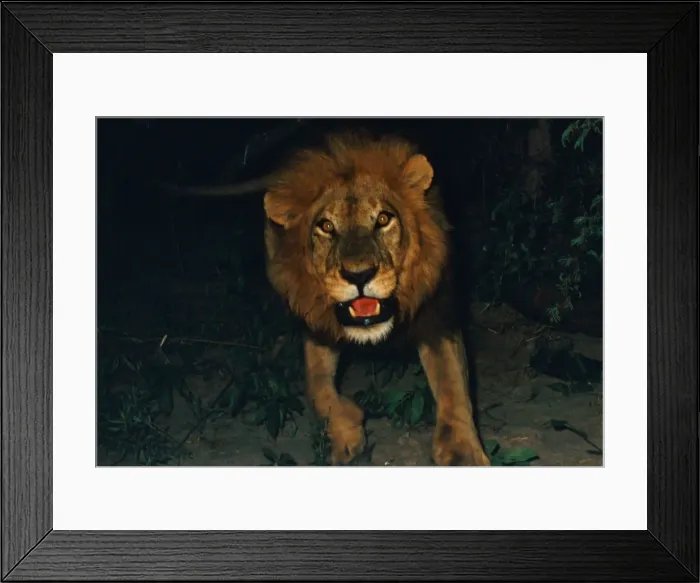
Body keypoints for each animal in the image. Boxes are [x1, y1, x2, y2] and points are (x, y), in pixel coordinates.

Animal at [159, 130, 490, 466]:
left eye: (384, 219)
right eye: (326, 226)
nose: (360, 275)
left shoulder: (438, 315)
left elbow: (454, 386)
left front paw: (463, 453)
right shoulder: (315, 322)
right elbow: (317, 387)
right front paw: (348, 429)